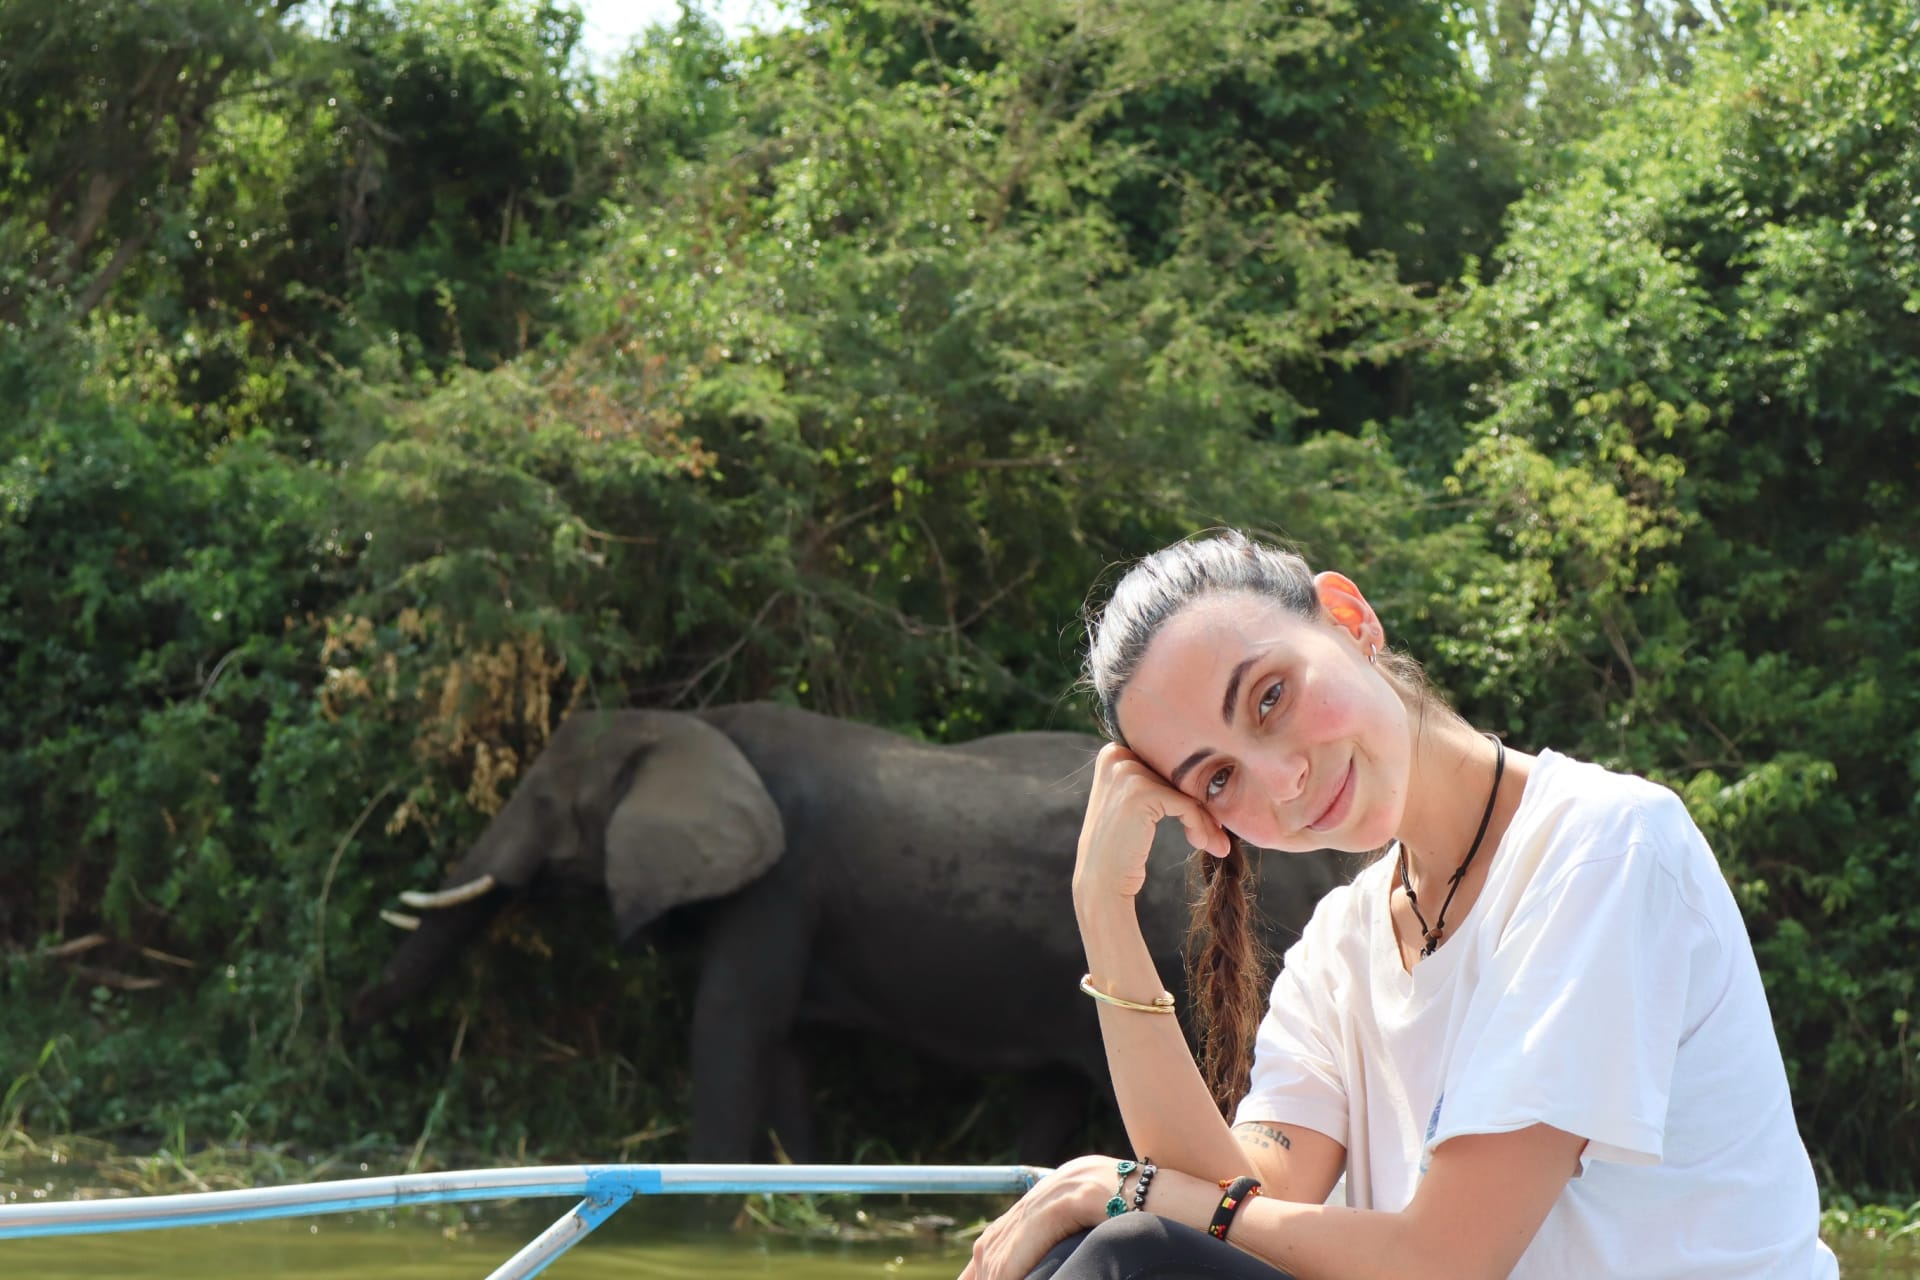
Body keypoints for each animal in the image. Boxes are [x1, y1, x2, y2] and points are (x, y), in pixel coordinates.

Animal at [352, 702, 1350, 1163]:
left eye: (546, 802)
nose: (354, 1016)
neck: (700, 730)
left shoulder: (778, 888)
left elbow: (730, 1032)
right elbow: (785, 1047)